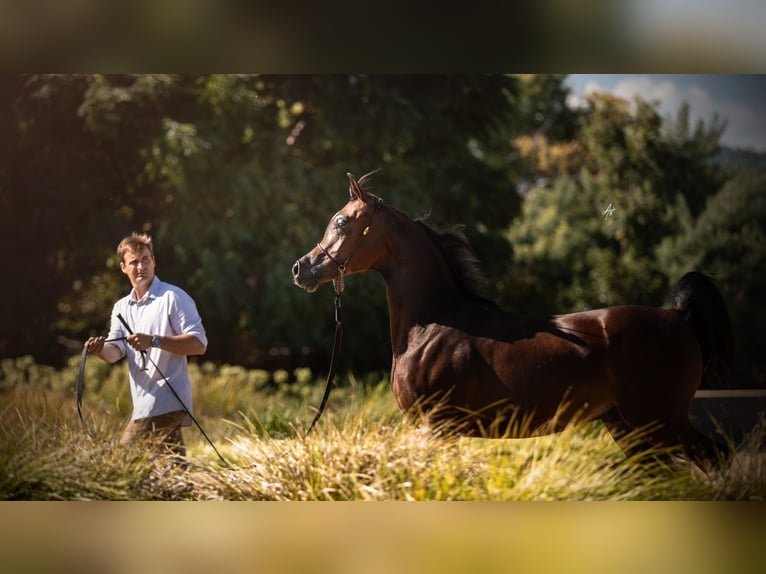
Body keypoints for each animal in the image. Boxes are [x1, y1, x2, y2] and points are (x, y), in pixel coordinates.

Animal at [292, 171, 736, 468]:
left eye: (341, 221)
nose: (302, 268)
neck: (433, 326)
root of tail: (679, 317)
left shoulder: (435, 428)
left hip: (661, 422)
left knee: (718, 456)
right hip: (632, 429)